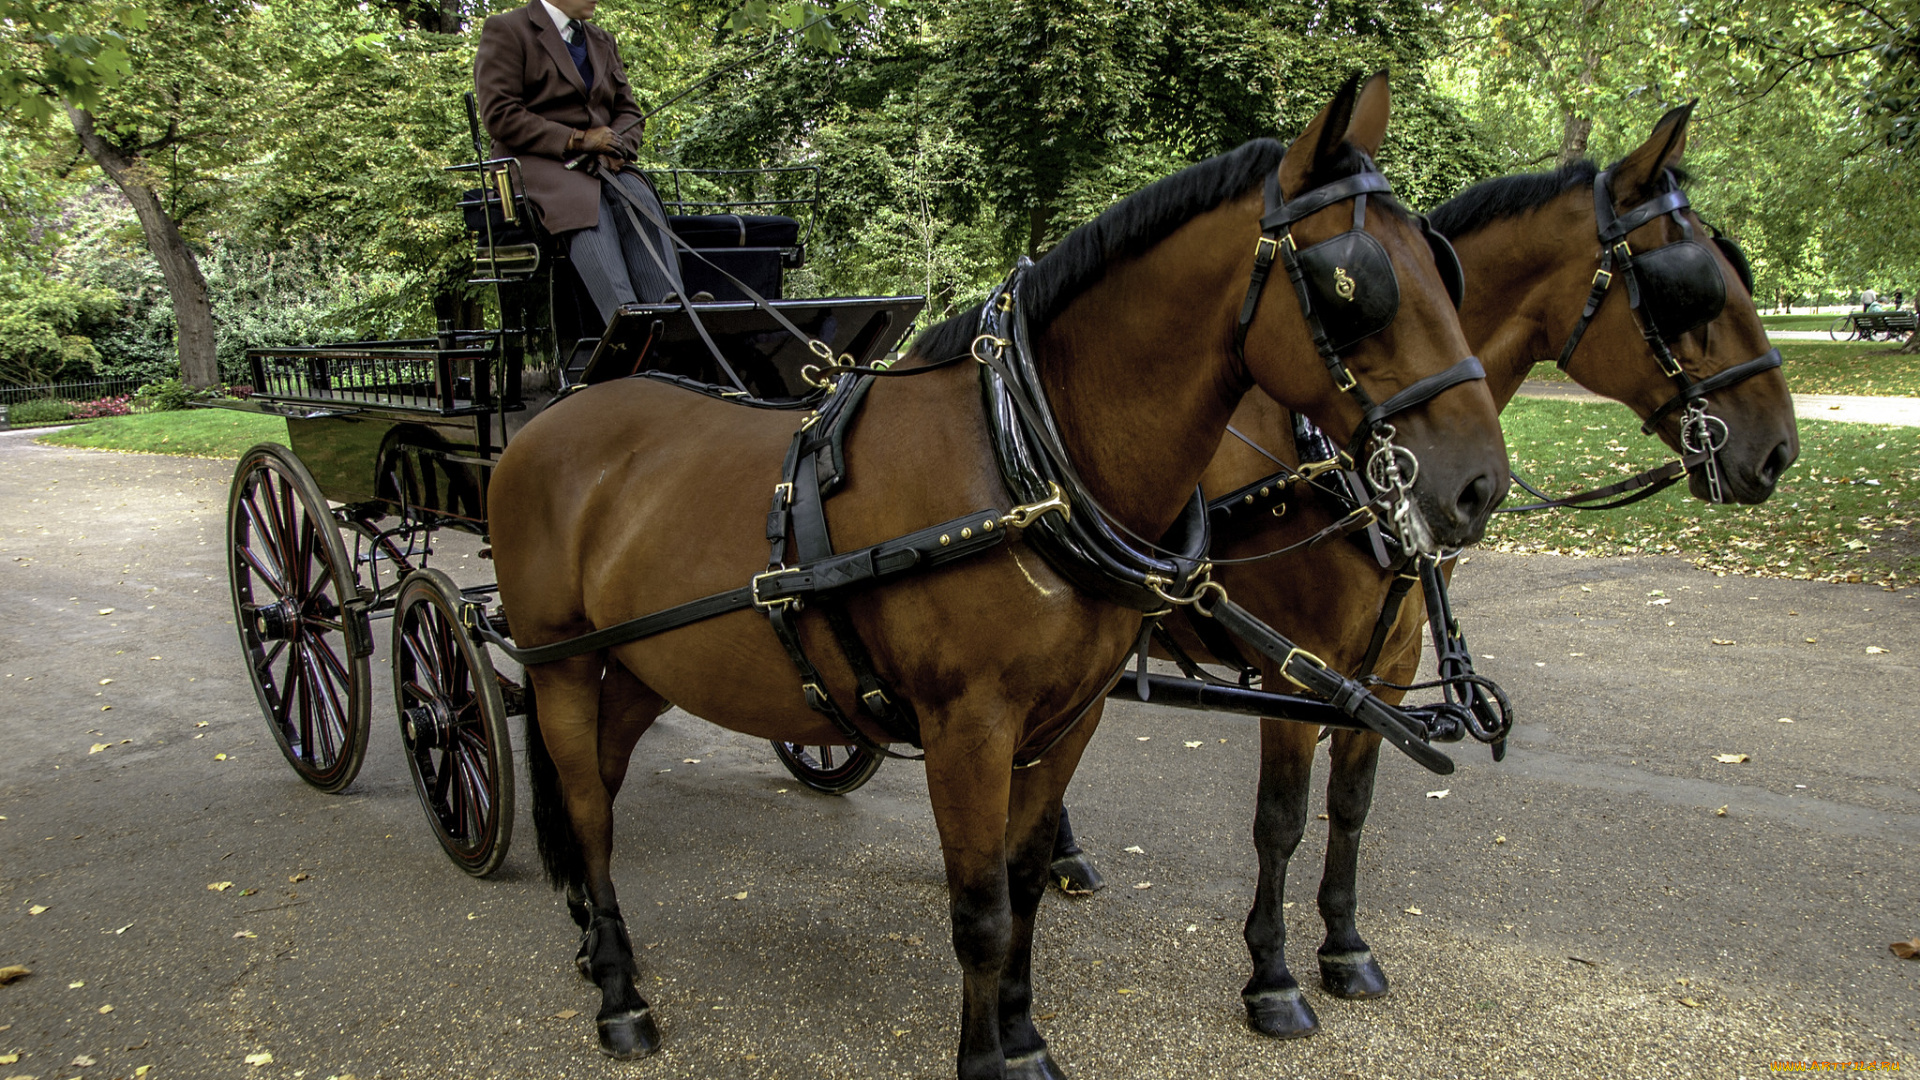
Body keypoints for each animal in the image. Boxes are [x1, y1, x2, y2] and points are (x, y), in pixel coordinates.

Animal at [487, 71, 1505, 1068]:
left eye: (1447, 269)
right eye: (1354, 285)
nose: (1479, 485)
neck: (1031, 473)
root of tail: (553, 414)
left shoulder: (1070, 717)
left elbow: (1022, 886)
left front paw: (1021, 1037)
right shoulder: (967, 727)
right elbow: (979, 912)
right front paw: (986, 1057)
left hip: (647, 660)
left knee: (601, 780)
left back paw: (589, 937)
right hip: (563, 659)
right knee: (587, 807)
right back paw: (619, 992)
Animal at [1044, 100, 1789, 1037]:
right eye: (1686, 289)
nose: (1778, 450)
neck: (1339, 459)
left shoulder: (1389, 669)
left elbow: (1352, 808)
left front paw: (1344, 947)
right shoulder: (1297, 674)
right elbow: (1281, 821)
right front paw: (1272, 977)